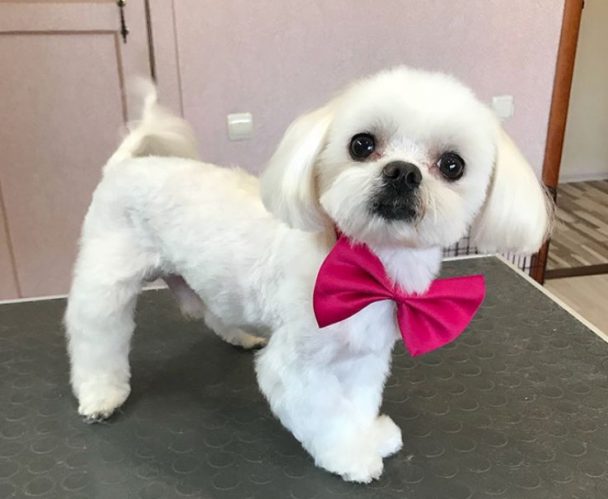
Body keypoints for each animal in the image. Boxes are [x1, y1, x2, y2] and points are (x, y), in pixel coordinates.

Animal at [65, 68, 552, 482]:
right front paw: (352, 456)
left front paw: (370, 435)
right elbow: (327, 415)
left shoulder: (363, 359)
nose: (402, 172)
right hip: (107, 277)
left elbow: (357, 404)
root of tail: (126, 163)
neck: (368, 269)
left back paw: (239, 334)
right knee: (95, 335)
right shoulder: (296, 367)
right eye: (362, 144)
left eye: (452, 165)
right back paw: (100, 394)